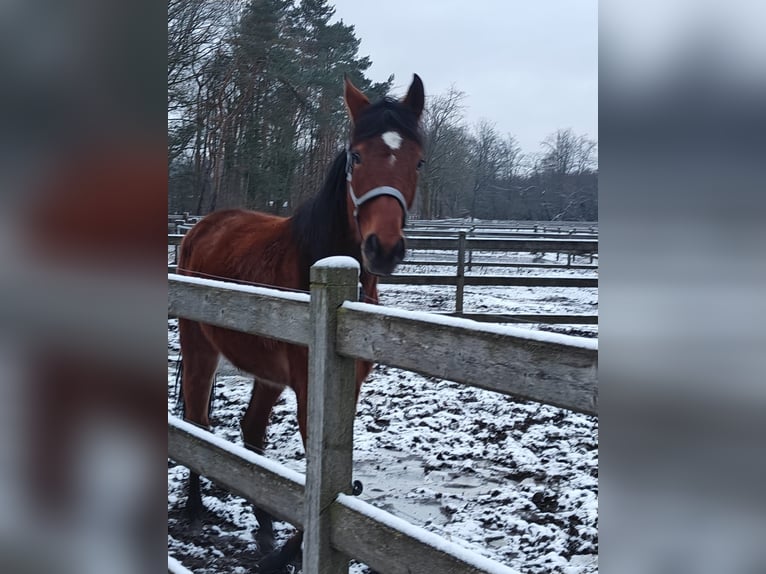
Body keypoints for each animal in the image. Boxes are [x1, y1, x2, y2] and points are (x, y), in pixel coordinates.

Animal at [177, 74, 425, 572]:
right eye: (356, 155)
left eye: (418, 161)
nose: (384, 248)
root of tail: (201, 226)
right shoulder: (311, 386)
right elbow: (318, 467)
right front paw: (295, 550)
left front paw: (284, 546)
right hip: (199, 348)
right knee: (197, 420)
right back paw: (194, 507)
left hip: (267, 373)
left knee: (251, 431)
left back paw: (265, 524)